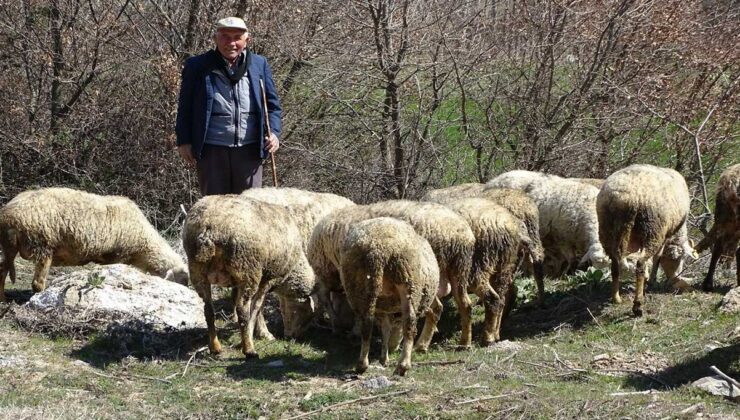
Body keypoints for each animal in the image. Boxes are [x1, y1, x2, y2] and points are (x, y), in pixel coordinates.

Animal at [0, 188, 188, 302]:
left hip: (9, 247)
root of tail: (9, 216)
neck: (143, 245)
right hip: (42, 244)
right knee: (37, 282)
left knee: (2, 270)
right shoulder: (116, 256)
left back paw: (3, 299)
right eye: (182, 281)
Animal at [306, 200, 474, 348]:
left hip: (427, 276)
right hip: (458, 268)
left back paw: (422, 344)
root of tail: (457, 234)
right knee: (464, 304)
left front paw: (349, 330)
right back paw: (462, 342)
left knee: (437, 308)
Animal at [340, 217, 440, 374]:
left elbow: (385, 328)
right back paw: (403, 364)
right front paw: (385, 358)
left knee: (366, 323)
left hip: (360, 286)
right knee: (409, 322)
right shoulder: (385, 308)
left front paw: (384, 358)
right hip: (408, 282)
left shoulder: (383, 308)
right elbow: (386, 329)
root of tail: (378, 250)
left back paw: (362, 364)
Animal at [600, 164, 696, 316]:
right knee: (640, 263)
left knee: (615, 265)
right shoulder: (664, 235)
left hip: (607, 231)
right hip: (653, 228)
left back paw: (616, 298)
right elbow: (657, 258)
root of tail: (623, 198)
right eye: (681, 259)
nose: (674, 278)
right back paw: (638, 305)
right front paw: (652, 280)